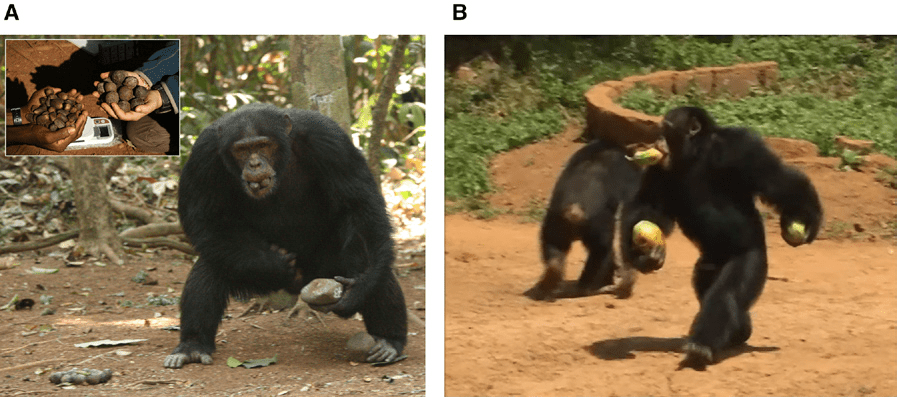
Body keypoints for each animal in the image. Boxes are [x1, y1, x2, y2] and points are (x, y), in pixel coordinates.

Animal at [163, 103, 408, 368]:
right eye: (242, 150)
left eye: (263, 145)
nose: (255, 164)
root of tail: (301, 283)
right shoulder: (203, 155)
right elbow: (204, 218)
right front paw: (272, 262)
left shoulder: (329, 140)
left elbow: (360, 205)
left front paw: (359, 288)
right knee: (210, 265)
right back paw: (192, 346)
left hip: (330, 266)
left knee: (373, 257)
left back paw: (388, 340)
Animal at [520, 138, 668, 302]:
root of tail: (574, 210)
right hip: (597, 224)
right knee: (603, 249)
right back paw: (594, 286)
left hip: (554, 222)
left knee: (554, 248)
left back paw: (550, 282)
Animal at [624, 106, 820, 368]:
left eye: (667, 129)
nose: (657, 141)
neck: (697, 154)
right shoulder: (658, 169)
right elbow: (649, 207)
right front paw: (648, 255)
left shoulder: (742, 147)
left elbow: (779, 181)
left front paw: (808, 221)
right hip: (706, 266)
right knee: (706, 286)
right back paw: (737, 333)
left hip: (752, 258)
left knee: (726, 293)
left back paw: (702, 346)